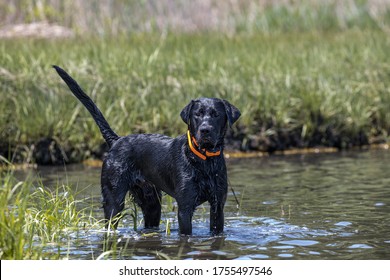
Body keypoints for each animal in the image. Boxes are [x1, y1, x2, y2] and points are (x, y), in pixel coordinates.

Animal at [53, 65, 239, 234]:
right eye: (197, 114)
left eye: (216, 114)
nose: (205, 130)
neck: (203, 160)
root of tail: (117, 140)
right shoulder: (185, 207)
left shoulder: (218, 205)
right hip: (114, 200)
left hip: (151, 203)